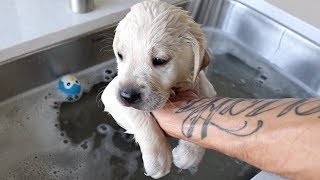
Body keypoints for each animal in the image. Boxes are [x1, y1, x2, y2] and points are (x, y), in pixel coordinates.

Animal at [102, 0, 218, 177]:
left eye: (159, 60)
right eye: (120, 55)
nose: (127, 96)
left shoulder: (206, 89)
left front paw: (188, 155)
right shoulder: (111, 95)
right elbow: (140, 116)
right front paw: (157, 160)